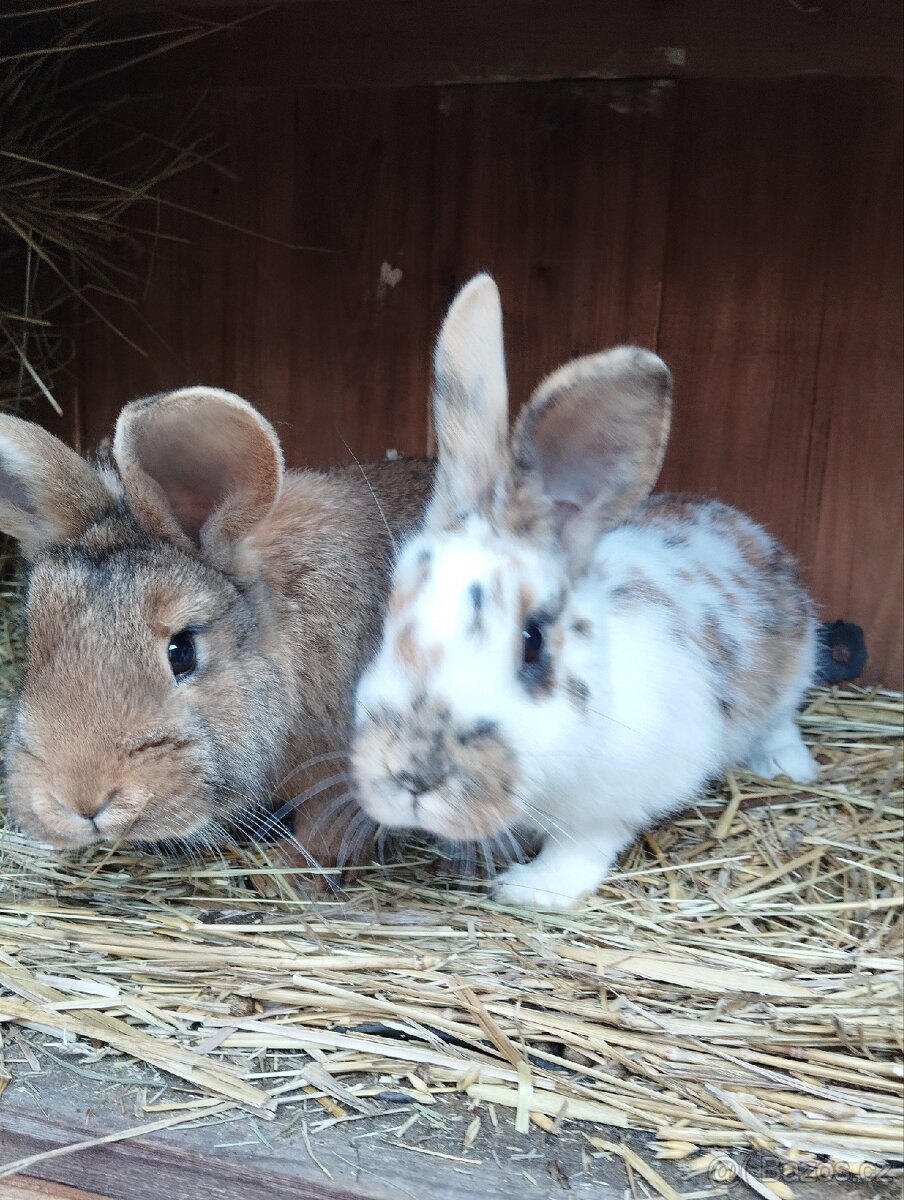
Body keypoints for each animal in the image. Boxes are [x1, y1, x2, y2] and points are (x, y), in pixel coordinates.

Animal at [351, 274, 820, 909]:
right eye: (390, 619)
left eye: (533, 644)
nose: (412, 775)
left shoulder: (626, 789)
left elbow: (584, 844)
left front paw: (532, 889)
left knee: (781, 720)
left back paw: (788, 767)